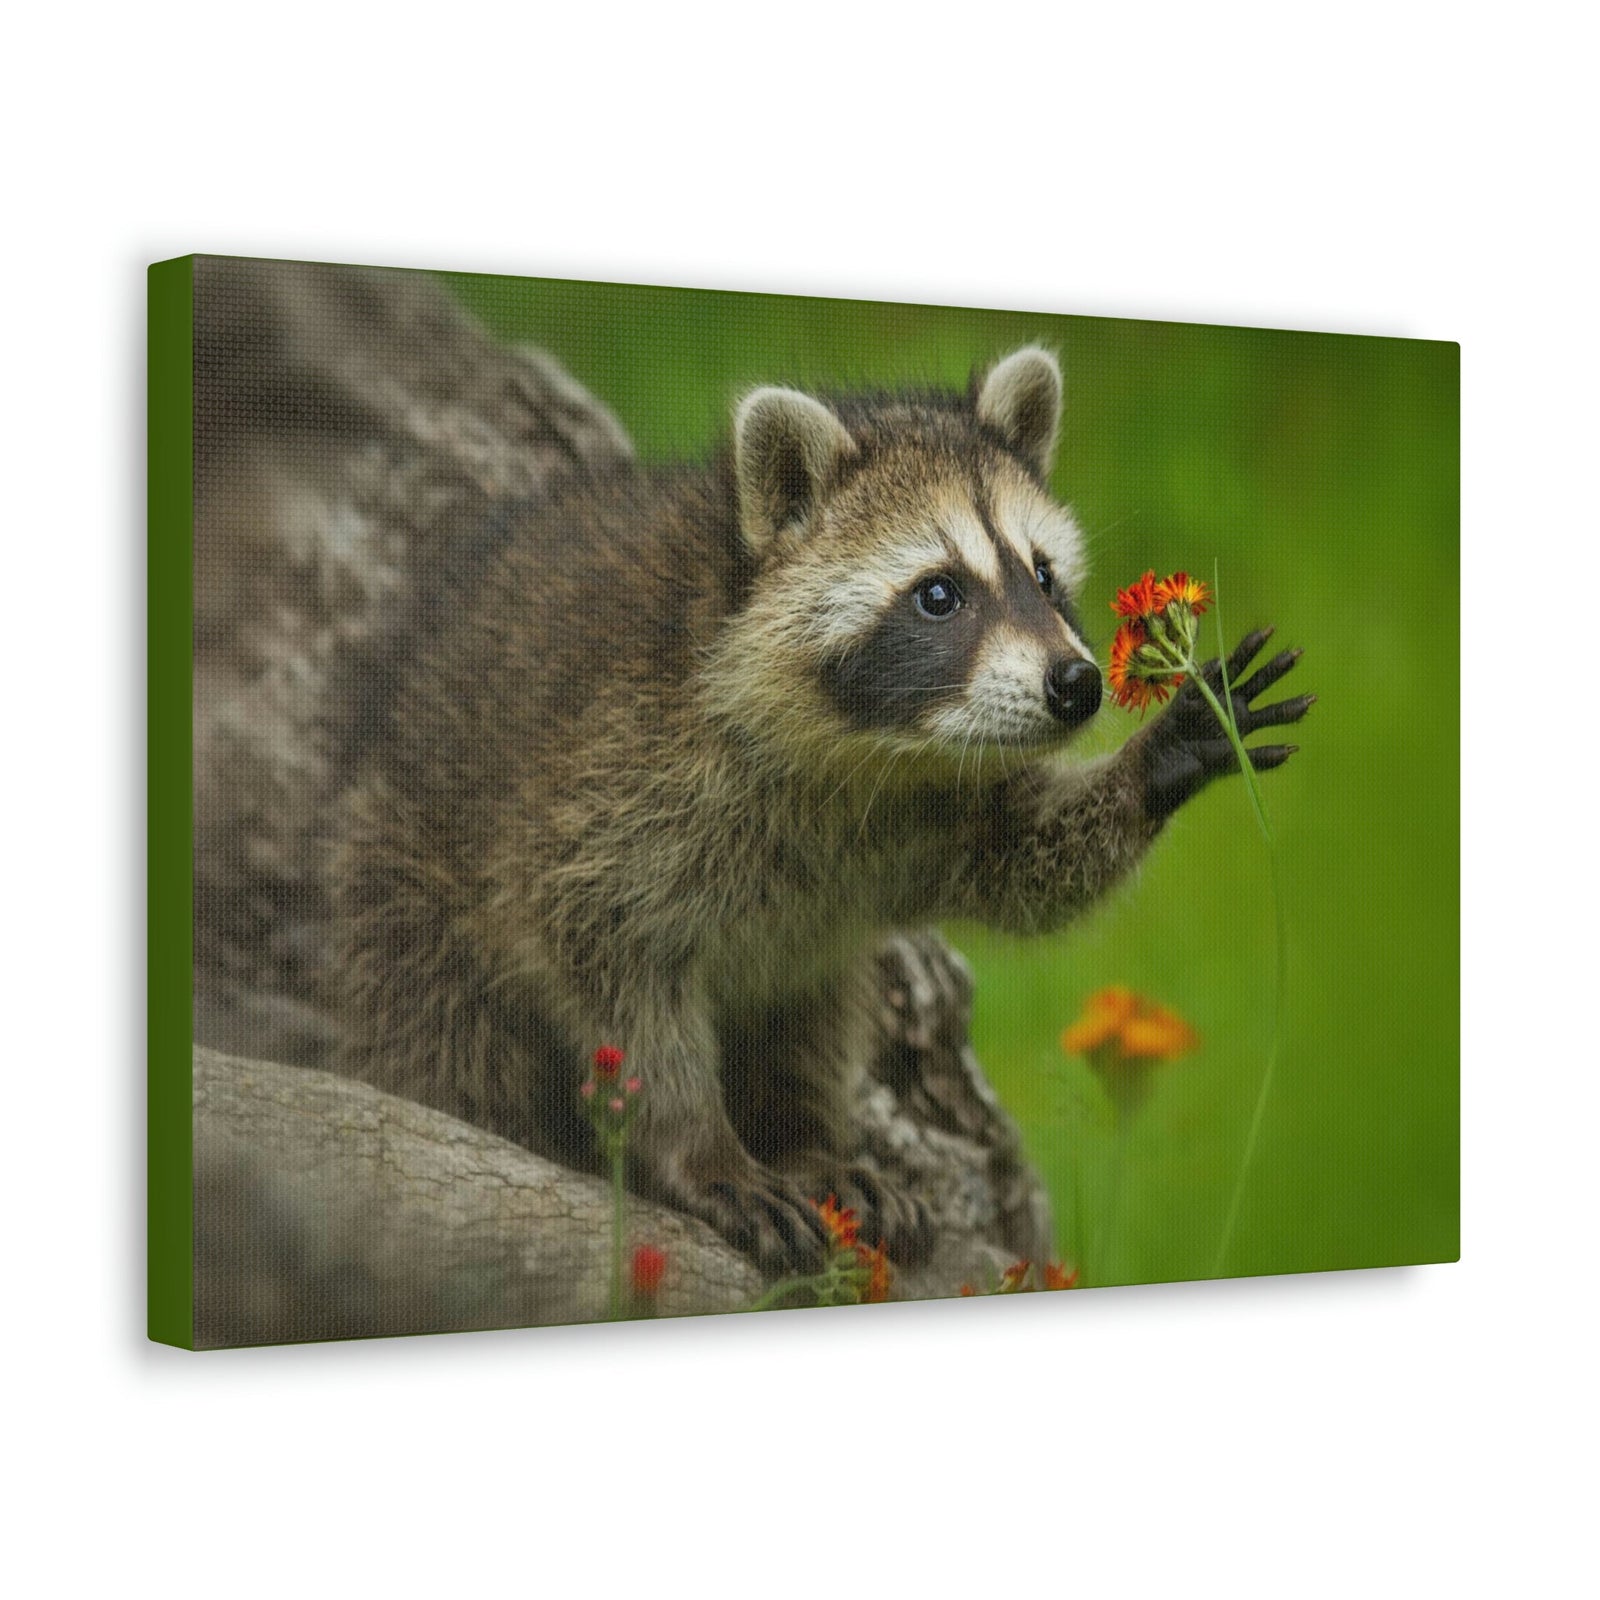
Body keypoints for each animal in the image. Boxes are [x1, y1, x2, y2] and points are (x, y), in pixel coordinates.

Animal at [331, 346, 1311, 1273]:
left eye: (1042, 576)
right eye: (939, 593)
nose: (1076, 685)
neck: (863, 752)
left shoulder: (922, 812)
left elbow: (1024, 862)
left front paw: (1162, 755)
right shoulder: (605, 788)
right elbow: (615, 975)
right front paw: (700, 1149)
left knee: (813, 1006)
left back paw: (804, 1138)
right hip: (400, 894)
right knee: (448, 1040)